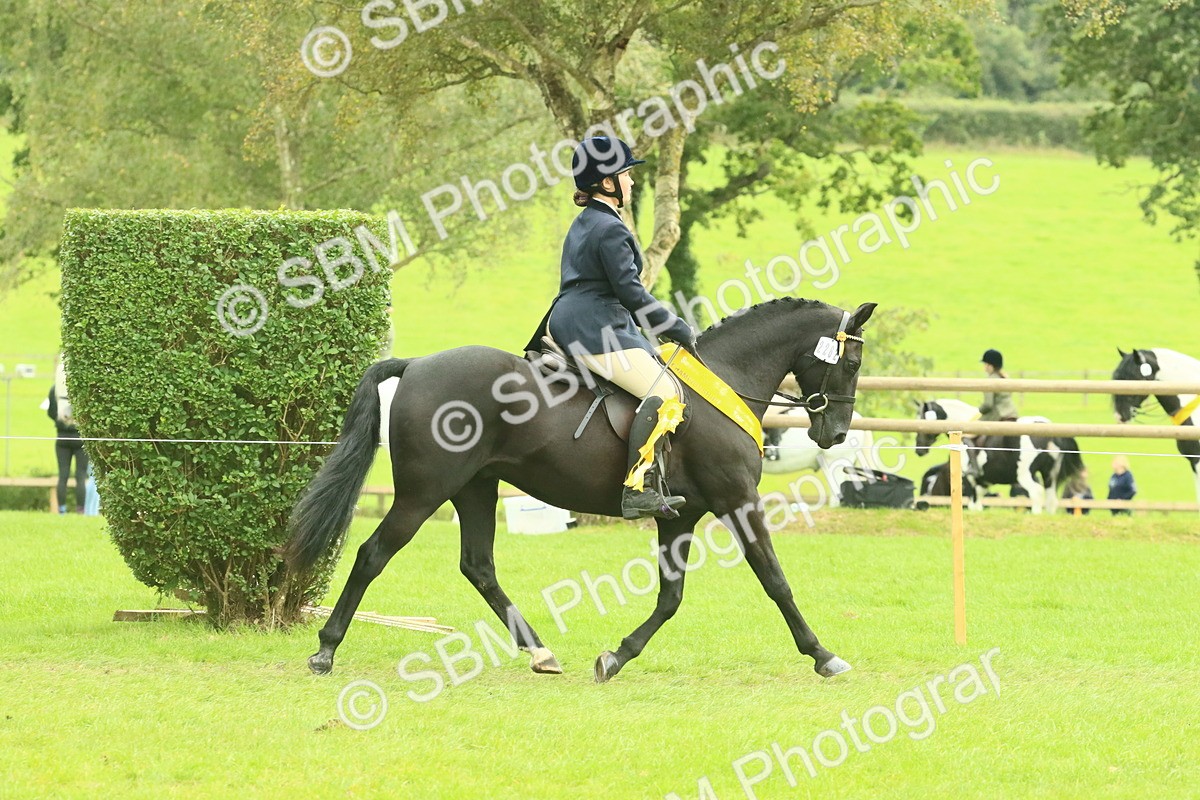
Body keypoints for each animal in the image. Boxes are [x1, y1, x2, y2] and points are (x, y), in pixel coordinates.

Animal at [285, 298, 877, 683]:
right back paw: (325, 652)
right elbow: (775, 581)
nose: (835, 433)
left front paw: (616, 657)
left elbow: (670, 598)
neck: (727, 379)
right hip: (423, 493)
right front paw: (823, 655)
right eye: (851, 361)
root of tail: (416, 365)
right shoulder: (737, 502)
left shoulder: (681, 517)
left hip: (476, 487)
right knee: (372, 554)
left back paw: (540, 653)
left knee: (478, 566)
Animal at [913, 399, 1083, 513]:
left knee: (1036, 493)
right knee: (1050, 498)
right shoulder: (983, 483)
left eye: (921, 419)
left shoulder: (969, 480)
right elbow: (977, 505)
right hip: (1049, 474)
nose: (918, 450)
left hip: (1025, 474)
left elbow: (973, 504)